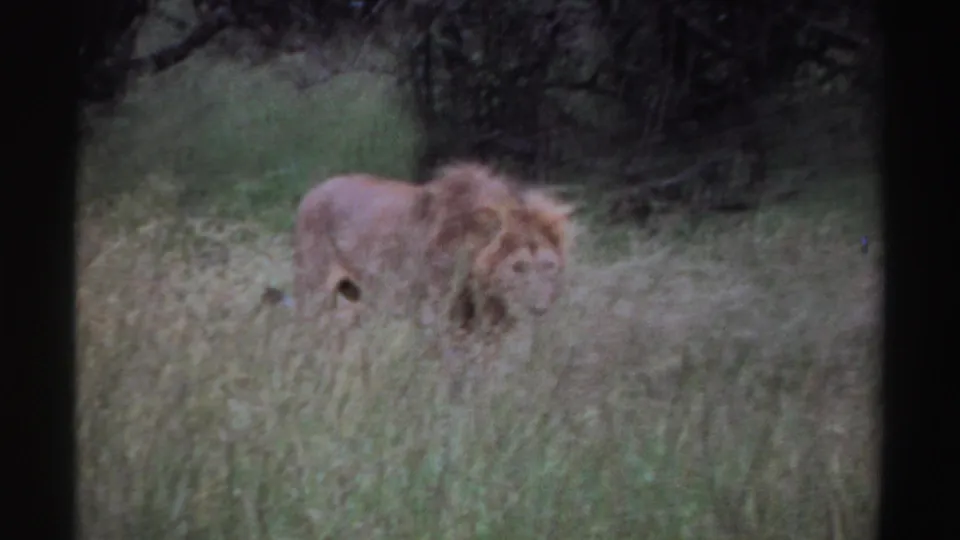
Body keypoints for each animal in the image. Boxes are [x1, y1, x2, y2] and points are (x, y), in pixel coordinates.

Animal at [266, 161, 575, 343]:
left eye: (548, 266)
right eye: (518, 267)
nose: (538, 309)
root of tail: (313, 192)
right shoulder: (438, 318)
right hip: (314, 294)